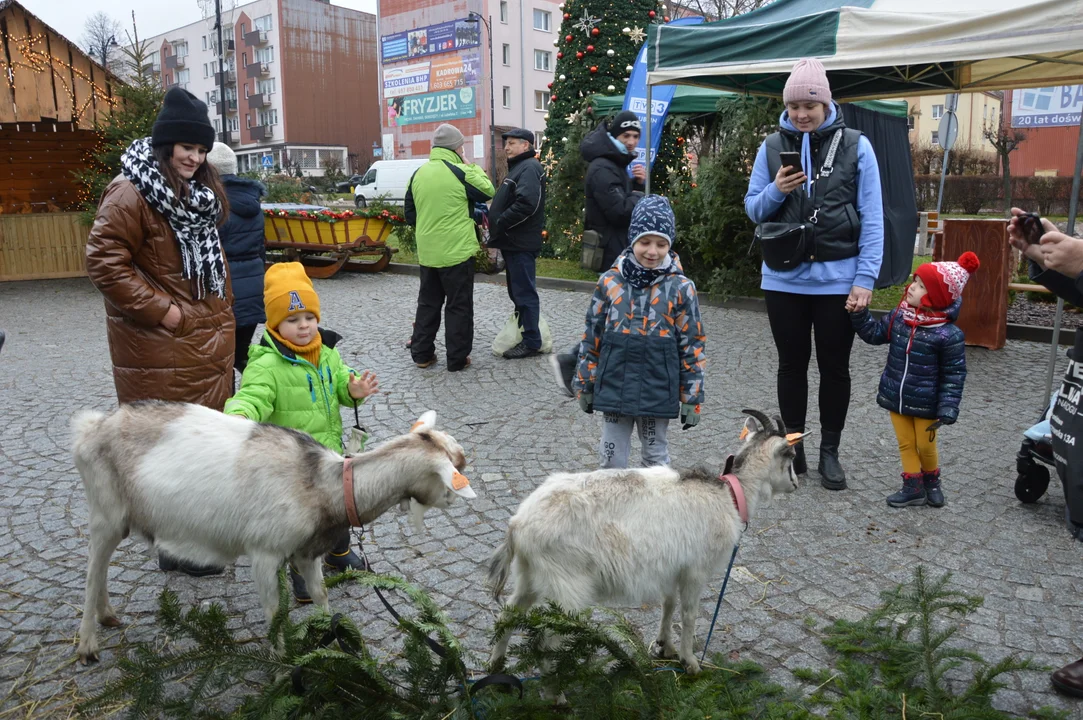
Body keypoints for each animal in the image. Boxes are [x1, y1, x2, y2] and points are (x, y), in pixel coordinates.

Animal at [69, 398, 472, 662]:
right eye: (455, 467)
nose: (457, 500)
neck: (323, 485)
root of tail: (90, 428)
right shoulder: (263, 553)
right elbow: (274, 612)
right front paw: (281, 665)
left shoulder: (308, 552)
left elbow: (321, 595)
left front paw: (333, 642)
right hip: (104, 512)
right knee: (91, 570)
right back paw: (87, 644)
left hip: (119, 519)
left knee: (100, 568)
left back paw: (108, 615)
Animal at [491, 409, 805, 675]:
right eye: (790, 455)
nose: (795, 485)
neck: (728, 494)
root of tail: (518, 524)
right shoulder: (695, 571)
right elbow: (688, 614)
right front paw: (690, 662)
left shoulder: (672, 567)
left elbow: (668, 604)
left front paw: (664, 646)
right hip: (566, 588)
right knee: (546, 642)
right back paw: (557, 694)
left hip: (530, 575)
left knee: (508, 615)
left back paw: (496, 665)